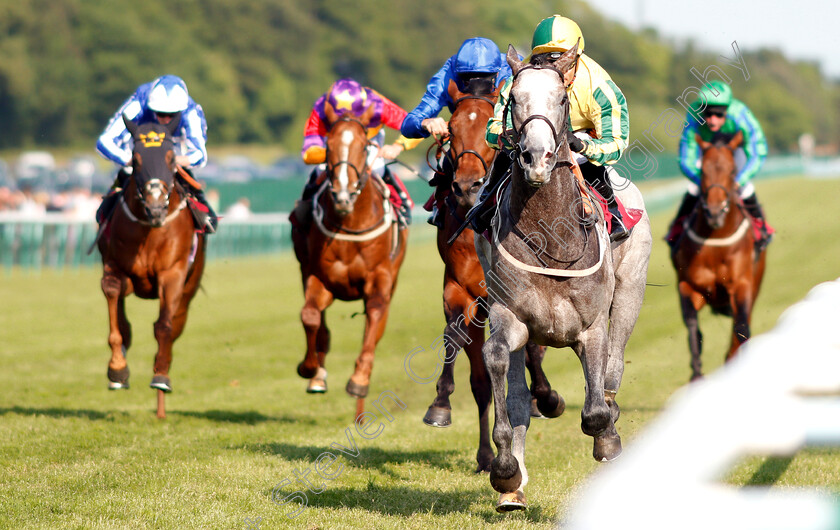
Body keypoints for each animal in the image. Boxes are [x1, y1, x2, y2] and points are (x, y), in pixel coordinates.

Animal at [98, 114, 207, 416]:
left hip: (188, 289)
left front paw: (160, 376)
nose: (156, 208)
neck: (150, 228)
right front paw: (117, 370)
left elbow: (164, 328)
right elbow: (115, 306)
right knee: (124, 320)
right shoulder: (114, 266)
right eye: (136, 159)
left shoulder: (173, 274)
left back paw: (161, 399)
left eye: (170, 158)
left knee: (173, 325)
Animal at [290, 101, 408, 418]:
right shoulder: (320, 276)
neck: (351, 221)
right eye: (328, 147)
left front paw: (359, 380)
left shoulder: (380, 279)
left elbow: (376, 316)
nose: (342, 195)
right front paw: (310, 369)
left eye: (363, 145)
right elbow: (309, 316)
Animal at [424, 78, 568, 470]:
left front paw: (545, 397)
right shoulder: (460, 288)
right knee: (480, 380)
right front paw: (440, 406)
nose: (466, 186)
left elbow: (532, 349)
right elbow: (454, 337)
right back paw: (487, 454)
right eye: (452, 128)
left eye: (490, 127)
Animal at [476, 46, 652, 512]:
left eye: (560, 99)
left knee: (613, 370)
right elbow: (499, 366)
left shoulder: (591, 327)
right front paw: (505, 471)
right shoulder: (510, 315)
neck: (549, 233)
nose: (535, 159)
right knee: (520, 397)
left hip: (630, 293)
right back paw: (514, 488)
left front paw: (607, 440)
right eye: (513, 99)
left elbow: (595, 408)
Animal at [672, 131, 764, 380]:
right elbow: (693, 327)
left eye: (732, 171)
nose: (714, 212)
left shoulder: (742, 285)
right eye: (703, 171)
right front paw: (696, 375)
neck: (715, 242)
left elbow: (741, 328)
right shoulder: (689, 285)